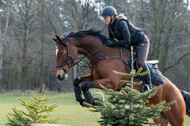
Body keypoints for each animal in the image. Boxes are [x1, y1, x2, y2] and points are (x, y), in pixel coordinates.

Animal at [52, 29, 189, 125]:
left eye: (62, 52)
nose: (59, 75)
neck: (103, 54)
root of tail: (179, 92)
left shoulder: (111, 83)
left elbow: (85, 85)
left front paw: (92, 101)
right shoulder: (94, 76)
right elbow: (77, 81)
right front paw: (81, 99)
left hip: (175, 117)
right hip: (159, 115)